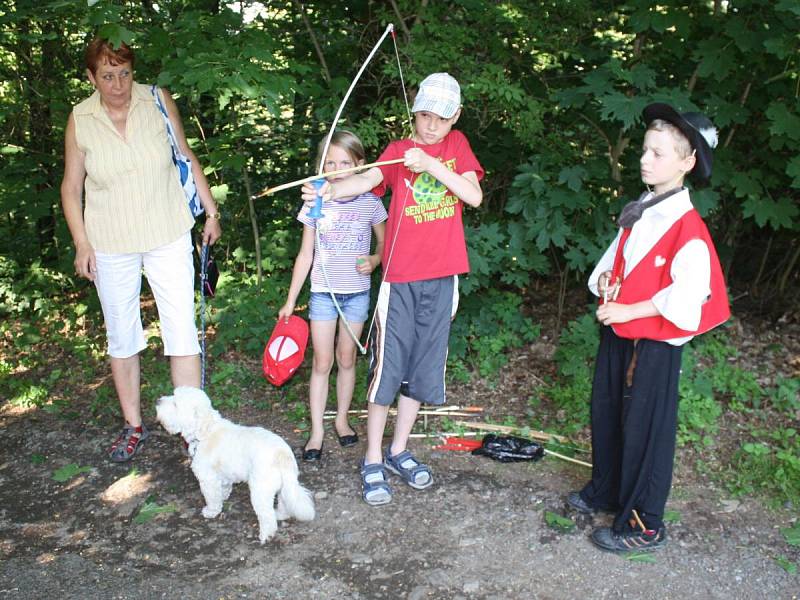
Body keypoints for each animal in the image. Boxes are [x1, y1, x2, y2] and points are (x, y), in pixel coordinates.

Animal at [156, 386, 316, 540]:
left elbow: (211, 497)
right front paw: (223, 496)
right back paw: (281, 515)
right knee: (284, 503)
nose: (158, 401)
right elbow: (223, 488)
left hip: (260, 491)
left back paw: (266, 535)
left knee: (267, 515)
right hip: (285, 487)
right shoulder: (224, 475)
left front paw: (211, 511)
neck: (205, 431)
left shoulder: (208, 479)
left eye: (175, 403)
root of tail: (281, 454)